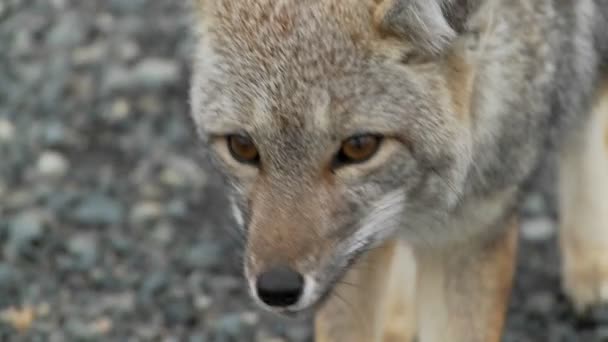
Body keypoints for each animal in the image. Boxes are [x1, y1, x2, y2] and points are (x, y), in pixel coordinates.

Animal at [190, 1, 608, 340]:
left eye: (359, 147)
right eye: (242, 146)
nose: (277, 288)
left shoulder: (472, 234)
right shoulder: (355, 259)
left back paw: (590, 264)